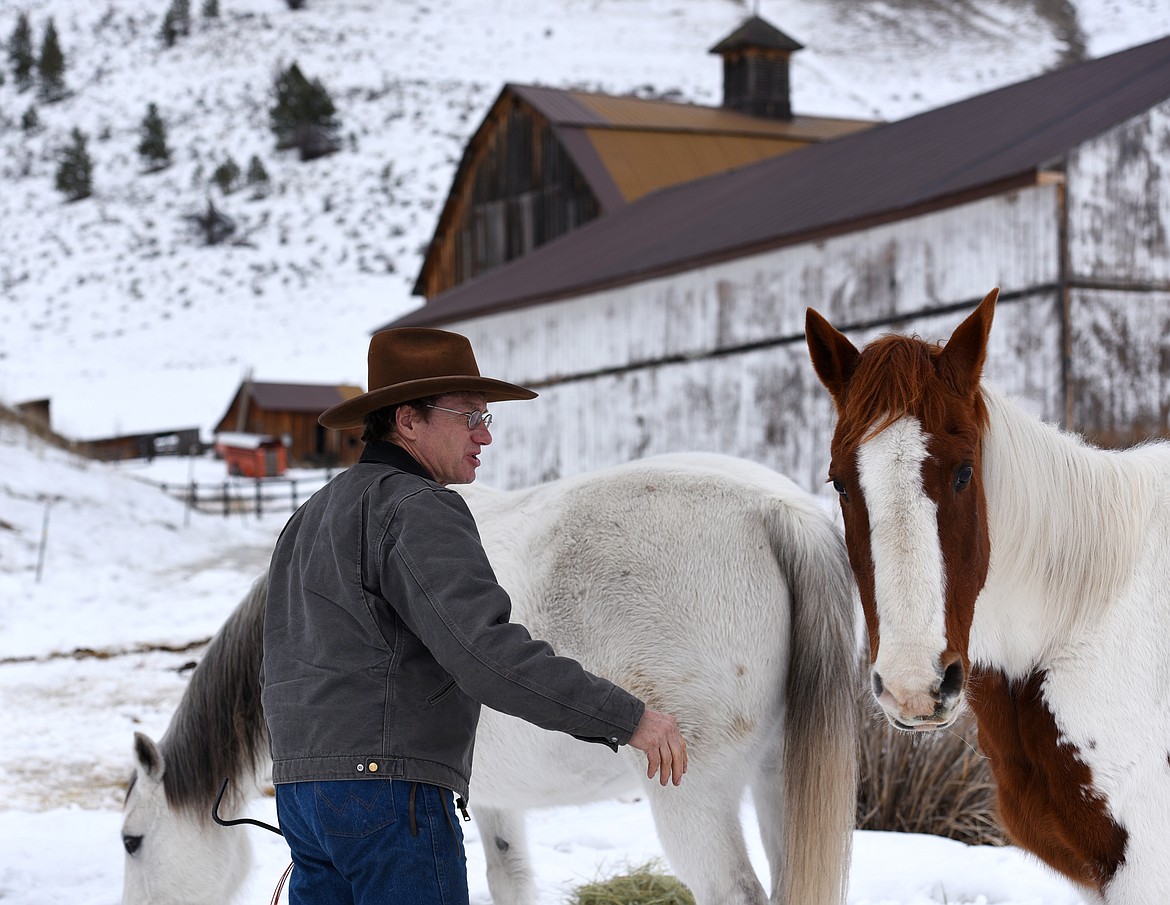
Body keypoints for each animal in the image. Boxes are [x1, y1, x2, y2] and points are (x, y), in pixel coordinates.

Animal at [121, 453, 861, 905]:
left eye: (132, 839)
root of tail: (779, 511)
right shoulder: (498, 804)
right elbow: (514, 881)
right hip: (778, 777)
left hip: (697, 799)